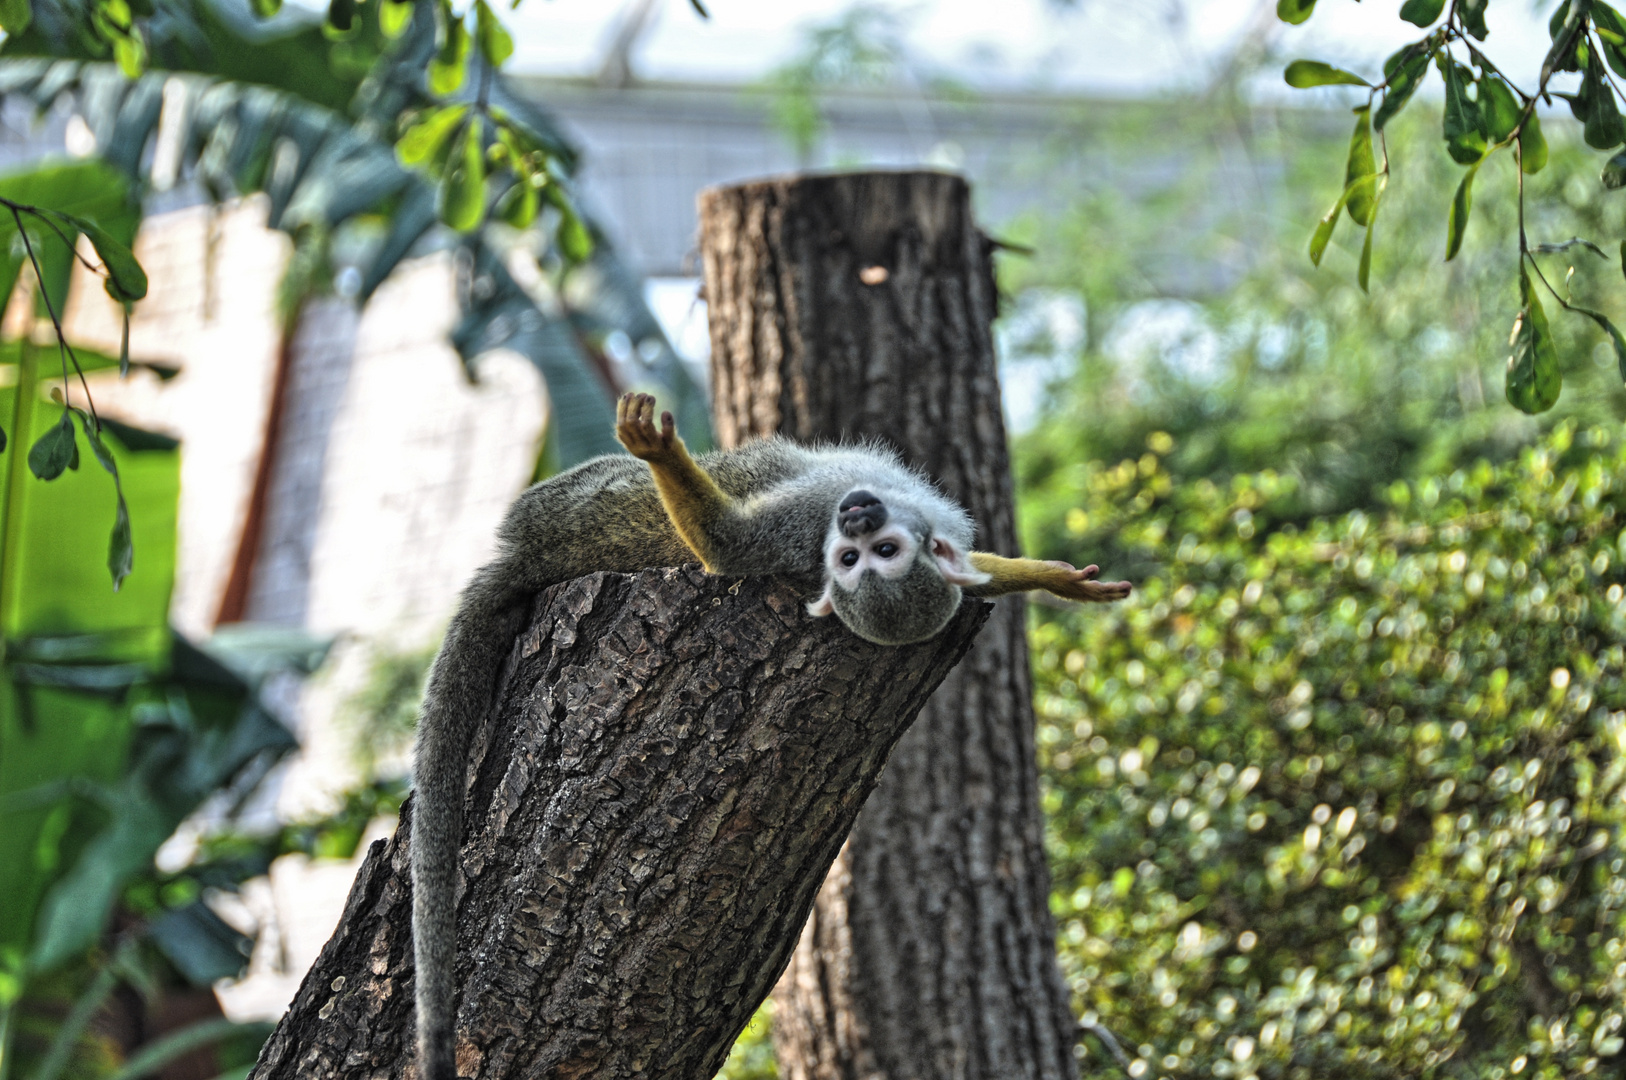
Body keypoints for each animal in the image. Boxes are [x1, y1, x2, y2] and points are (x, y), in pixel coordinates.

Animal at [409, 395, 1131, 1080]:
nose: (858, 519)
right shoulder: (811, 530)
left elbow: (731, 543)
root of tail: (528, 560)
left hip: (567, 512)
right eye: (849, 557)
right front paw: (1054, 578)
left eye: (882, 556)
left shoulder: (808, 537)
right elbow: (743, 543)